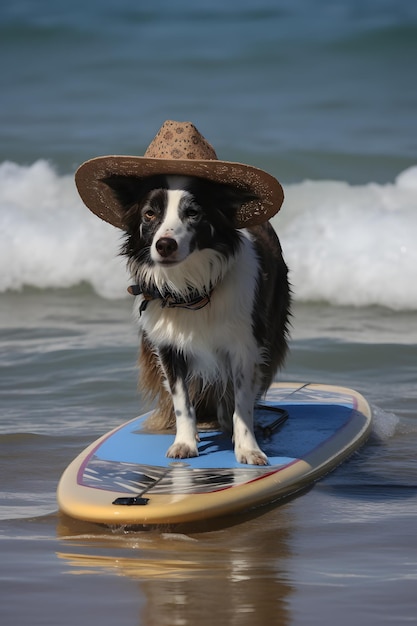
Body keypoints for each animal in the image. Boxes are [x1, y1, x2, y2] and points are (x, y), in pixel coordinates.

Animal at [105, 171, 290, 464]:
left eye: (192, 213)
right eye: (149, 214)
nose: (164, 245)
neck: (191, 290)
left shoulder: (245, 348)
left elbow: (242, 402)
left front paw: (248, 448)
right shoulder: (168, 348)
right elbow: (182, 400)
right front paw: (185, 442)